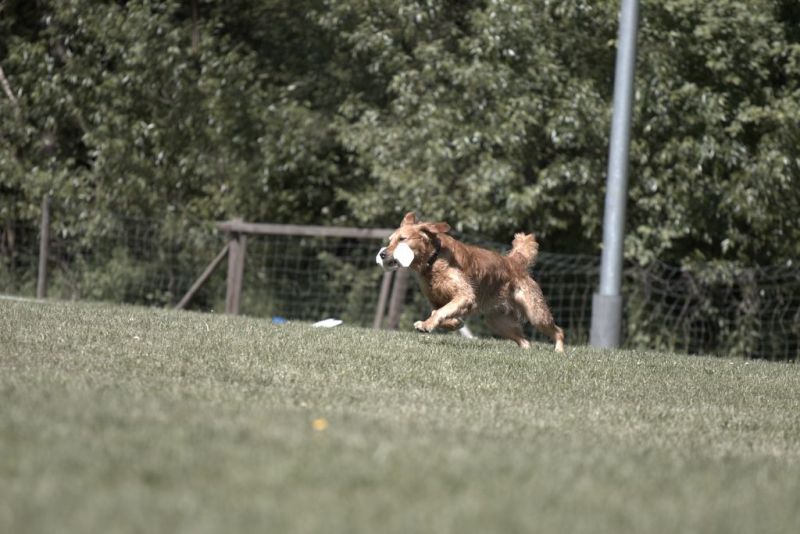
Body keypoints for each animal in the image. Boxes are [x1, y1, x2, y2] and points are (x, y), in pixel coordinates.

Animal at [376, 212, 565, 352]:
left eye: (402, 239)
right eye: (390, 240)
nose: (383, 254)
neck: (433, 260)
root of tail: (513, 262)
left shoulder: (465, 295)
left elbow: (439, 312)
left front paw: (427, 325)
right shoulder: (435, 300)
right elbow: (440, 312)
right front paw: (453, 323)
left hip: (535, 313)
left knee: (558, 331)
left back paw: (559, 350)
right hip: (497, 321)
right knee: (525, 341)